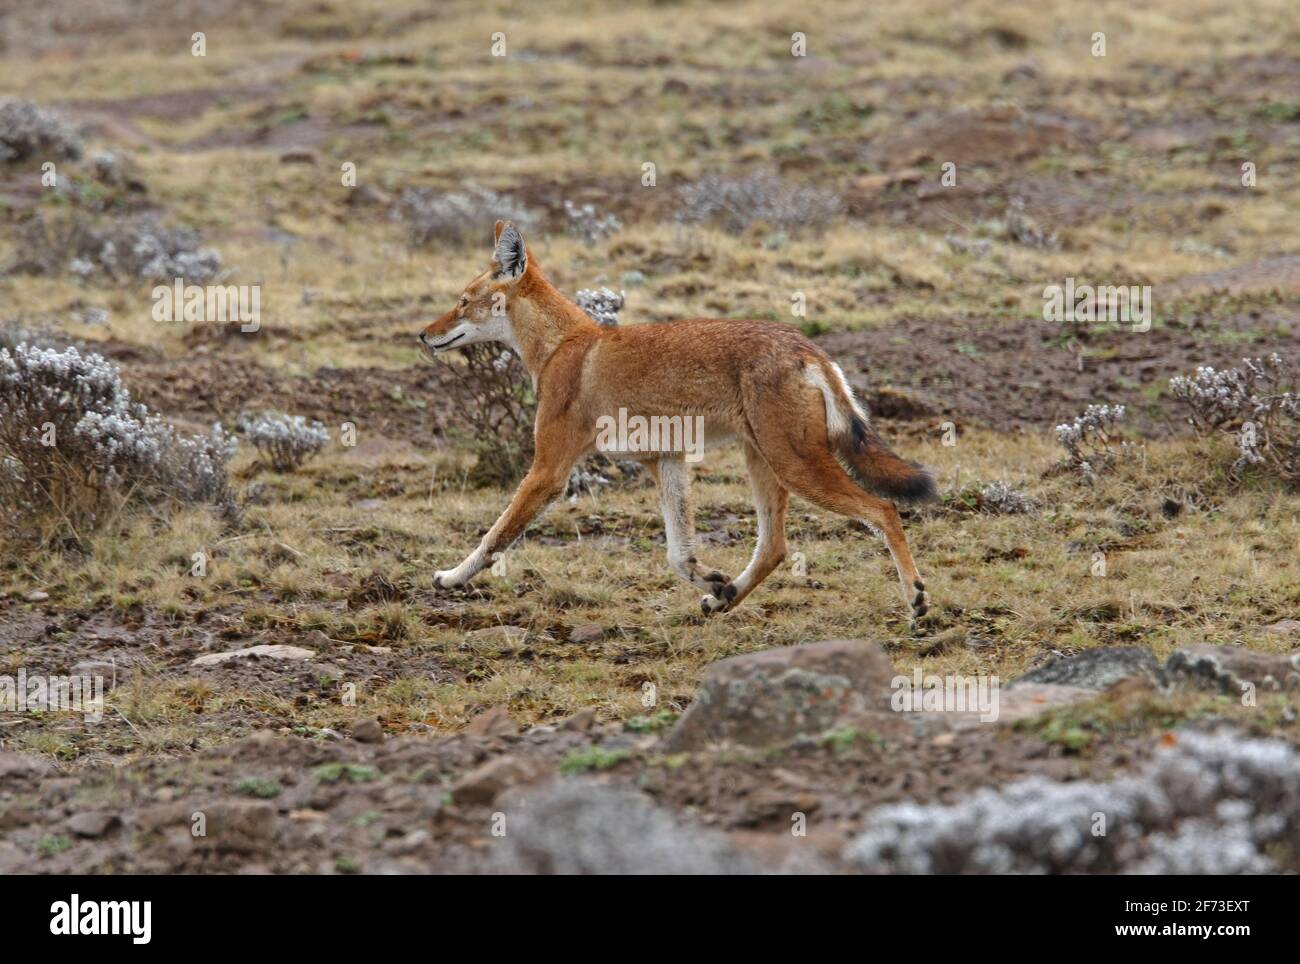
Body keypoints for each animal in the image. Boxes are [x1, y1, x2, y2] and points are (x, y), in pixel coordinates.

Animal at [421, 222, 941, 618]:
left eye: (463, 300)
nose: (422, 335)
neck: (560, 348)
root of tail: (807, 345)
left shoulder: (548, 473)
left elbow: (493, 537)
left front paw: (450, 578)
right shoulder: (666, 461)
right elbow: (677, 554)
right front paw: (713, 582)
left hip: (796, 468)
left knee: (882, 509)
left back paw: (916, 599)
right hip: (766, 465)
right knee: (774, 547)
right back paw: (723, 601)